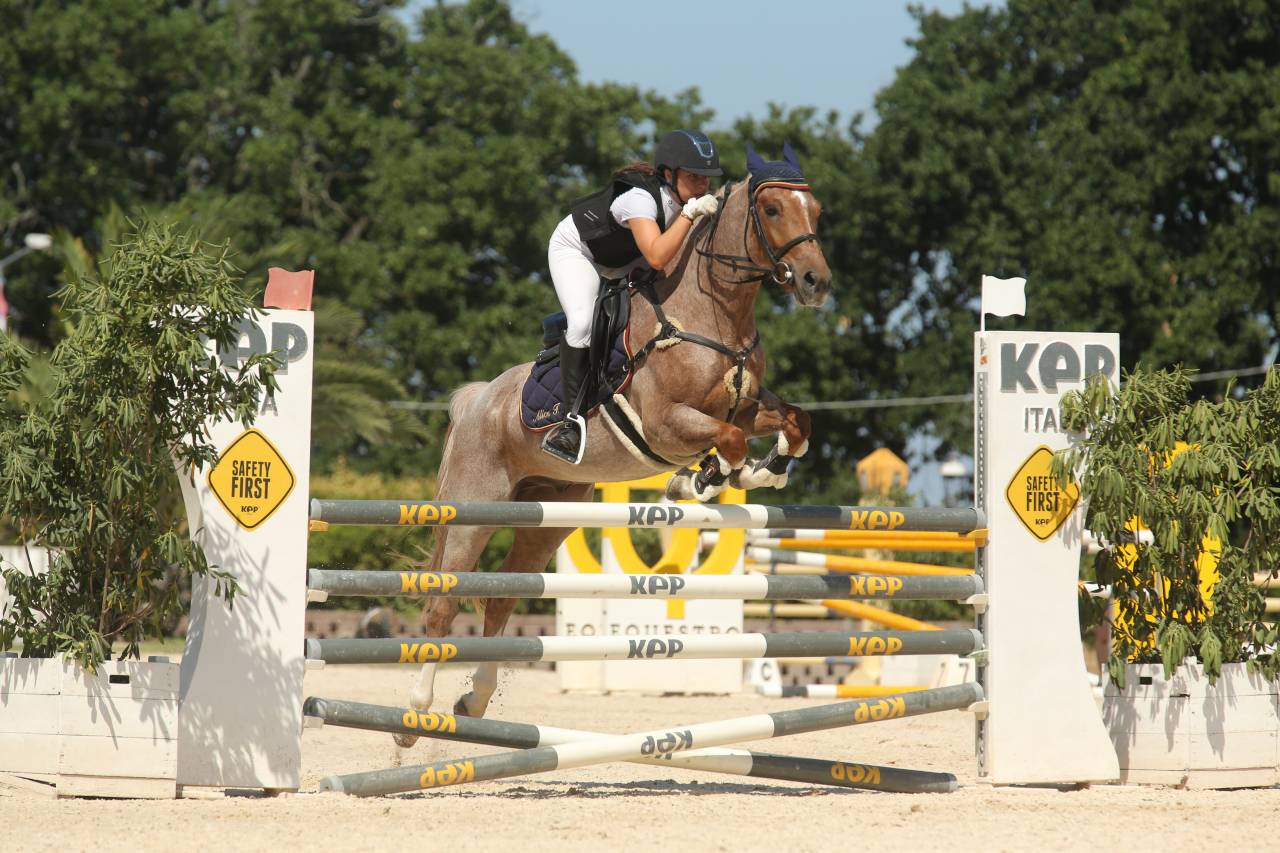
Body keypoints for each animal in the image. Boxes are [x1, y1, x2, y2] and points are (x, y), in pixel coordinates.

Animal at [394, 144, 832, 747]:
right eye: (771, 210)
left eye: (816, 208)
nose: (816, 281)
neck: (712, 314)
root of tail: (476, 399)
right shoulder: (665, 423)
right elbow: (728, 440)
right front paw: (706, 477)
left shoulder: (746, 406)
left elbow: (795, 420)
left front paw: (766, 469)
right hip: (473, 509)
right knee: (443, 604)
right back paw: (415, 718)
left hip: (549, 513)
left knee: (501, 596)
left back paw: (473, 701)